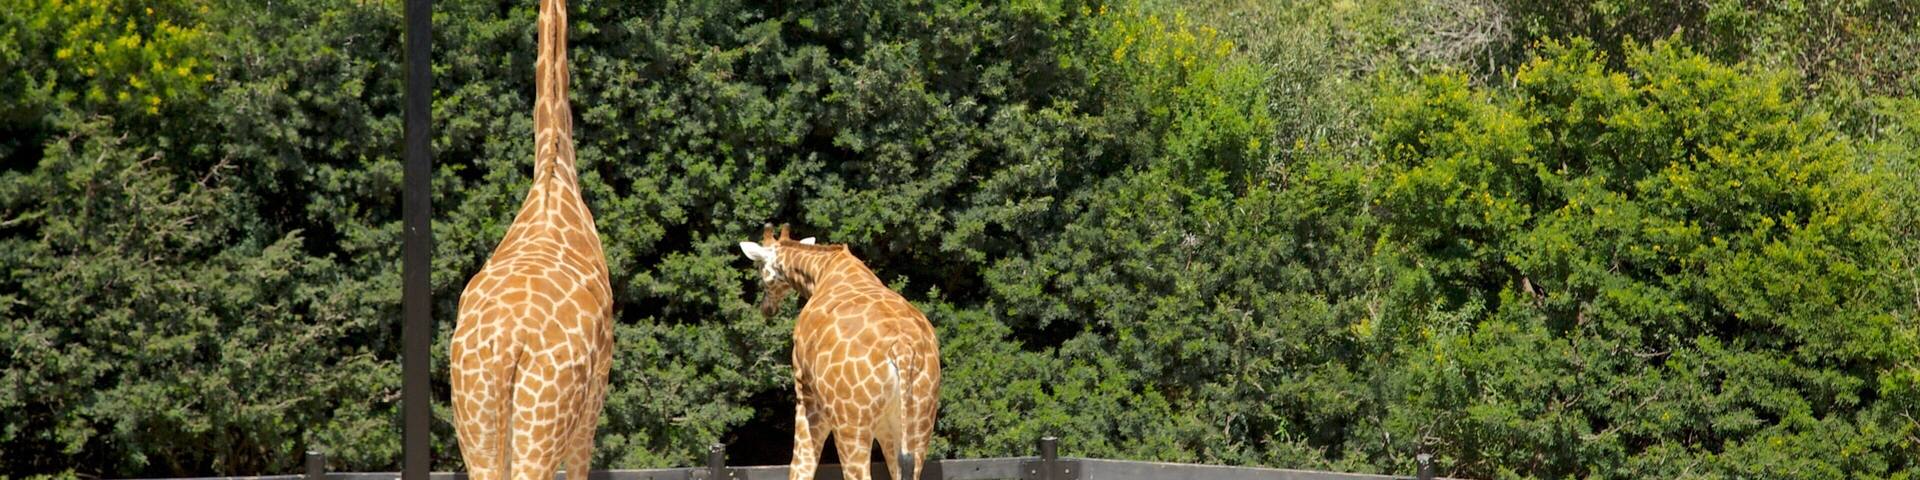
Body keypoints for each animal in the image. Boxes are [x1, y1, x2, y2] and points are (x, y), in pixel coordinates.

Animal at [739, 224, 942, 480]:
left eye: (758, 267)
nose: (766, 308)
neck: (822, 271)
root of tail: (902, 348)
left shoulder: (805, 390)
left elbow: (801, 464)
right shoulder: (886, 426)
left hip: (851, 422)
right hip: (920, 418)